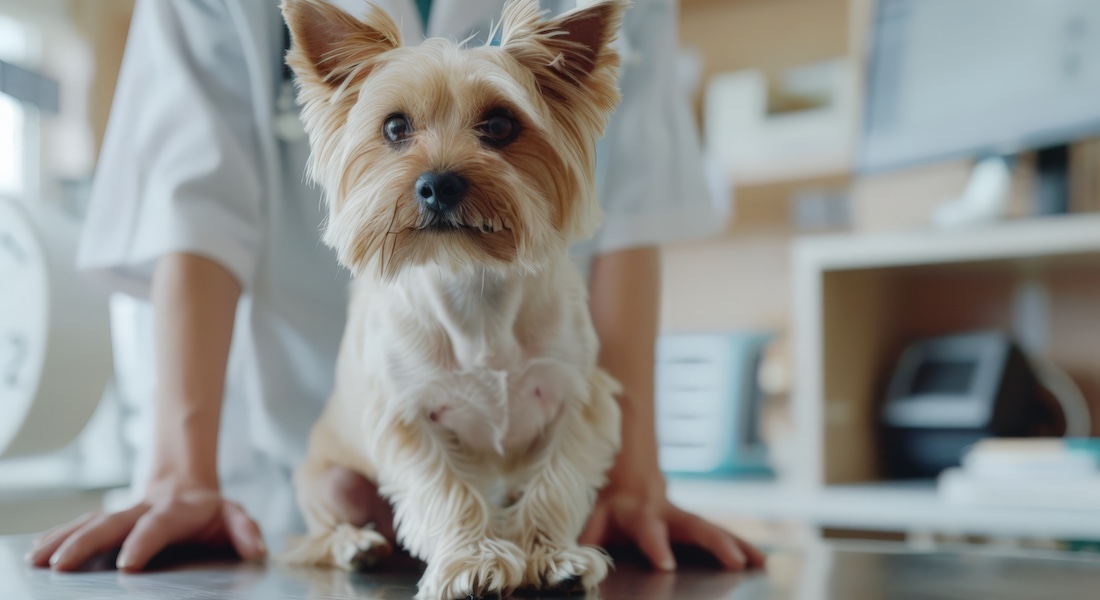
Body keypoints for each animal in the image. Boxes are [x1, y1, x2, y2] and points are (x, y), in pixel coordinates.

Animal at [277, 0, 629, 594]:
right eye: (395, 126)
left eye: (500, 124)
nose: (438, 183)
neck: (475, 286)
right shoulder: (408, 414)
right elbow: (446, 491)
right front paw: (473, 560)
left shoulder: (575, 402)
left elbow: (555, 482)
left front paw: (551, 555)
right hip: (330, 482)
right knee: (320, 534)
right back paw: (354, 545)